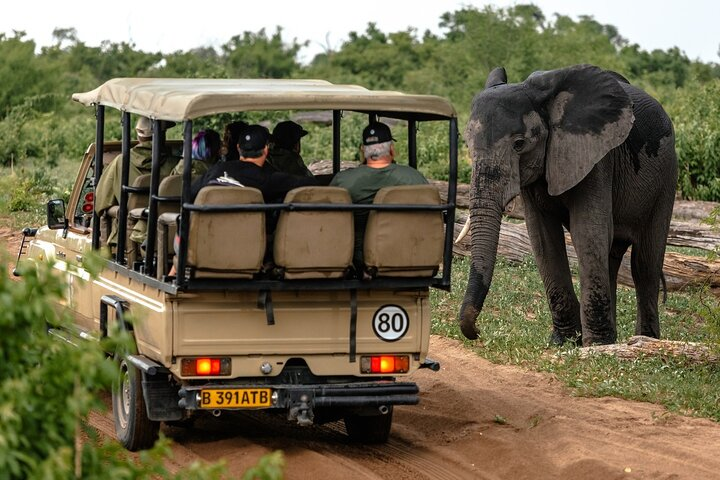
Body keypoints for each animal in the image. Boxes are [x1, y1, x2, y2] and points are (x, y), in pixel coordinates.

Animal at [458, 65, 676, 346]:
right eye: (468, 145)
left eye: (519, 144)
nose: (477, 332)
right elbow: (542, 239)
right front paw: (566, 342)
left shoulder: (596, 157)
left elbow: (587, 232)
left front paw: (594, 346)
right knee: (612, 257)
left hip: (667, 177)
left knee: (645, 264)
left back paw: (644, 341)